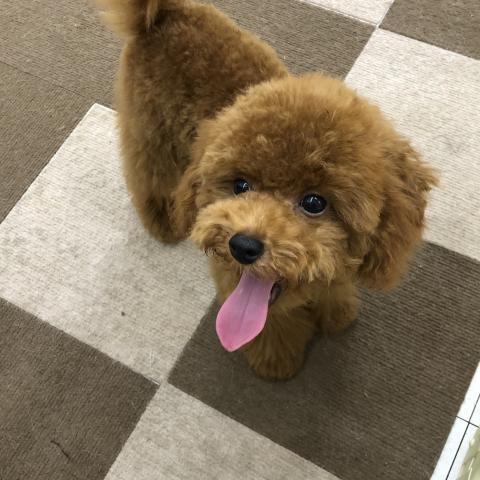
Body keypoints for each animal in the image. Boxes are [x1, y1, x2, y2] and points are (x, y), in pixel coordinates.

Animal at [98, 0, 437, 379]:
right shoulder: (236, 279)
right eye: (240, 185)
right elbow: (270, 325)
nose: (243, 246)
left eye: (314, 202)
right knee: (148, 175)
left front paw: (337, 314)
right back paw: (163, 221)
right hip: (152, 128)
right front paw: (275, 362)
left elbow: (334, 290)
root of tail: (167, 11)